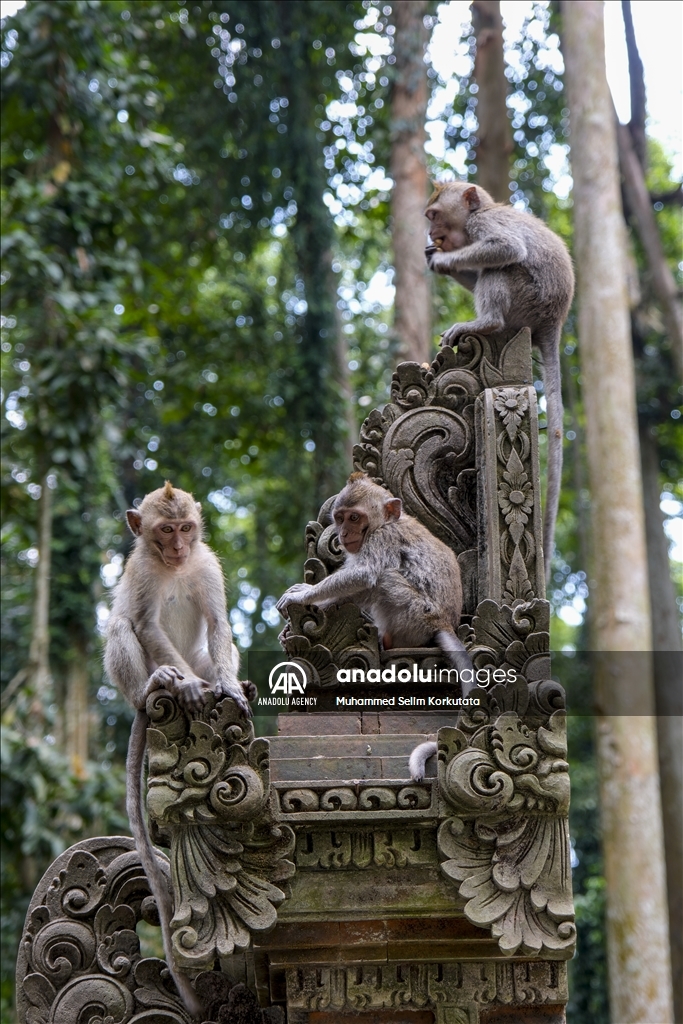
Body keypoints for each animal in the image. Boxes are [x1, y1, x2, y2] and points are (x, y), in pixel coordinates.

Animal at [107, 481, 253, 1015]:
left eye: (187, 528)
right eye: (164, 530)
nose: (177, 548)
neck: (172, 568)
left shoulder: (205, 564)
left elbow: (218, 623)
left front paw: (225, 687)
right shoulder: (143, 572)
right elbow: (146, 625)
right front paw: (189, 687)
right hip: (139, 684)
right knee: (122, 627)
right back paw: (160, 684)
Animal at [274, 471, 473, 679]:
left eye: (354, 517)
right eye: (340, 518)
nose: (344, 533)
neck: (385, 523)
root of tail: (445, 624)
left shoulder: (382, 538)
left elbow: (364, 575)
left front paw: (301, 595)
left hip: (417, 617)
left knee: (383, 579)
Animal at [423, 182, 573, 577]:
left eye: (433, 215)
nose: (431, 234)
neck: (478, 212)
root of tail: (554, 322)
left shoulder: (484, 225)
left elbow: (505, 248)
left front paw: (443, 261)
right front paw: (434, 258)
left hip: (528, 300)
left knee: (501, 270)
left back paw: (485, 323)